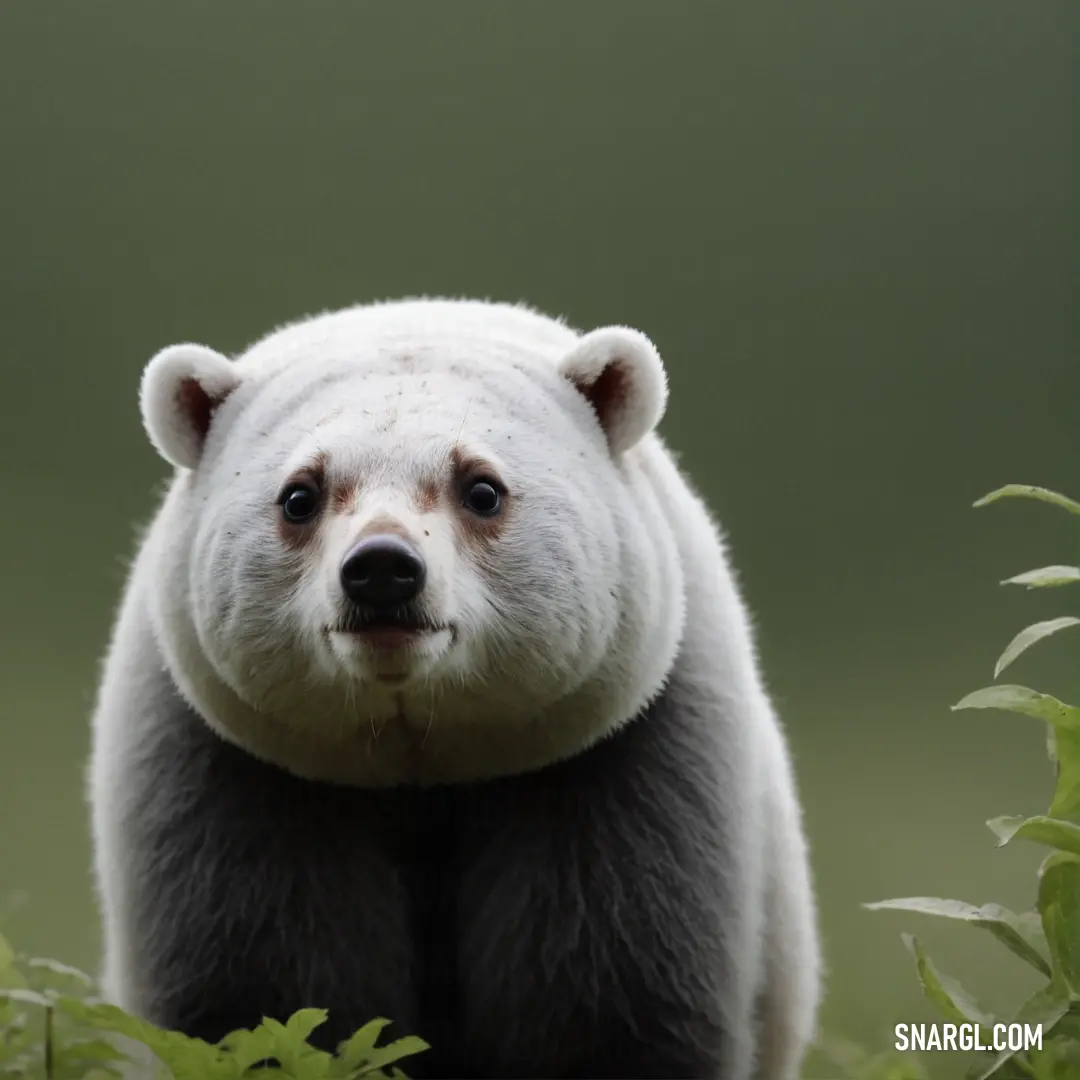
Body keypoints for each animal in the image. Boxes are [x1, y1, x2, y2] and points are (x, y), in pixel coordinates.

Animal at [88, 298, 820, 1080]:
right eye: (299, 496)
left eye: (481, 488)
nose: (382, 570)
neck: (423, 758)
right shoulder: (234, 770)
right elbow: (255, 992)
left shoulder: (622, 756)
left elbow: (616, 997)